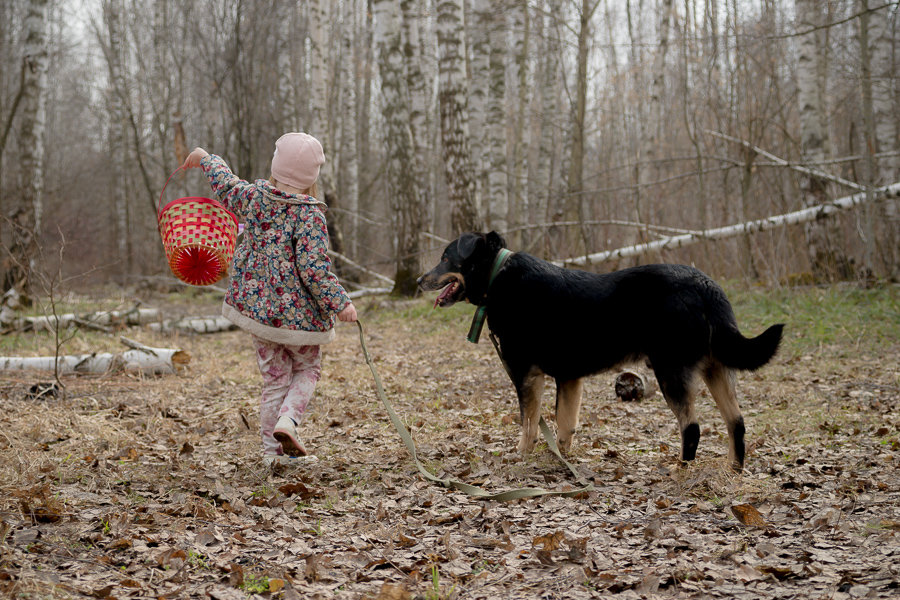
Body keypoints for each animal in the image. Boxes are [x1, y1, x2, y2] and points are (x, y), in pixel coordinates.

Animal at [418, 232, 784, 472]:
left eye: (446, 258)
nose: (419, 281)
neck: (498, 277)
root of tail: (707, 286)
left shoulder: (527, 375)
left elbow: (529, 424)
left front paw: (521, 456)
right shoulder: (568, 379)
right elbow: (564, 426)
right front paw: (562, 461)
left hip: (671, 370)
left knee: (692, 427)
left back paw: (681, 470)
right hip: (716, 368)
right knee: (736, 423)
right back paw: (733, 471)